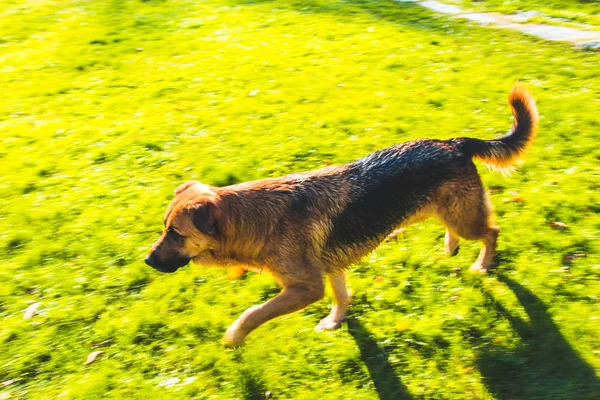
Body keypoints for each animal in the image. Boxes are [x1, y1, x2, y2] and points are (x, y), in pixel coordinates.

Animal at [145, 83, 540, 346]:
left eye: (176, 233)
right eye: (165, 228)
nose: (147, 260)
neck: (255, 220)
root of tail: (454, 142)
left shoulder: (305, 287)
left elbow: (253, 313)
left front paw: (233, 336)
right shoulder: (331, 268)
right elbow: (341, 297)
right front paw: (336, 322)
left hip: (464, 217)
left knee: (492, 231)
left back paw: (483, 265)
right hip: (445, 211)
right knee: (459, 228)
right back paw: (451, 246)